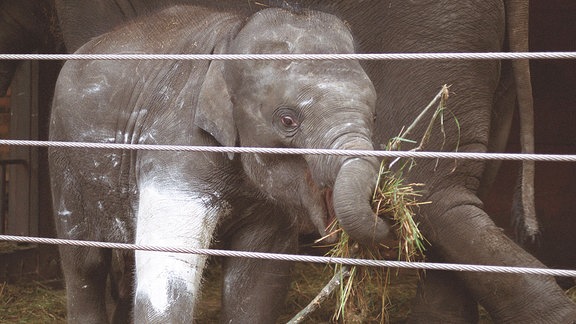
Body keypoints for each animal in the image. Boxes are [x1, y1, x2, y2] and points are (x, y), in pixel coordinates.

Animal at [49, 3, 392, 322]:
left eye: (375, 116)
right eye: (287, 120)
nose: (385, 215)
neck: (231, 38)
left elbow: (257, 278)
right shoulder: (175, 143)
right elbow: (171, 266)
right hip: (64, 156)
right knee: (85, 262)